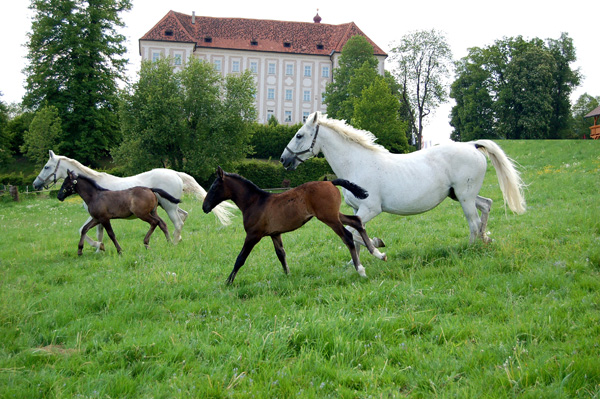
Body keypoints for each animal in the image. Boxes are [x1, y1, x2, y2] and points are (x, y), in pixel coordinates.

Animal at [32, 151, 234, 250]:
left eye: (47, 166)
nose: (35, 184)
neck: (95, 188)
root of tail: (175, 173)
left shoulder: (100, 215)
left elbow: (87, 230)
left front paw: (98, 246)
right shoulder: (98, 217)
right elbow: (95, 232)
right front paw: (99, 247)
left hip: (168, 207)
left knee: (177, 222)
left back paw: (174, 243)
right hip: (168, 205)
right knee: (182, 217)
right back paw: (177, 239)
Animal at [204, 167, 386, 286]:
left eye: (214, 187)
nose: (204, 207)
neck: (255, 202)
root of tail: (330, 182)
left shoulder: (253, 235)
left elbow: (240, 258)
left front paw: (228, 282)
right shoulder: (275, 234)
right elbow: (281, 254)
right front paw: (288, 276)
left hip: (329, 218)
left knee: (347, 237)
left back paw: (360, 270)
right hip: (334, 215)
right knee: (357, 221)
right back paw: (378, 253)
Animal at [282, 111, 524, 260]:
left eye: (299, 135)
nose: (284, 160)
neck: (356, 163)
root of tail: (472, 145)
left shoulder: (370, 209)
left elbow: (353, 233)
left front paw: (378, 246)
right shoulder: (356, 209)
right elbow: (356, 235)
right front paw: (354, 263)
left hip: (465, 197)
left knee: (473, 222)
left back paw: (471, 248)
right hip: (460, 195)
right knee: (486, 205)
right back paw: (486, 238)